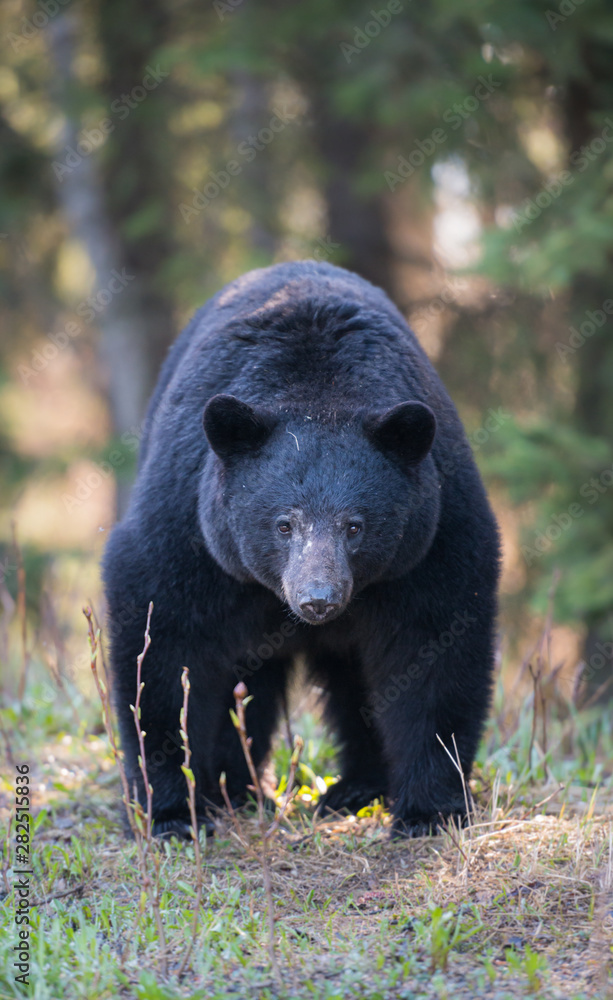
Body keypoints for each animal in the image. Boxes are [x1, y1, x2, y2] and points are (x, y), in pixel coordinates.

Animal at [102, 260, 500, 838]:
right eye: (284, 524)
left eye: (354, 526)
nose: (318, 598)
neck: (318, 394)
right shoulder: (190, 528)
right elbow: (165, 648)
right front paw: (172, 811)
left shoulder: (433, 535)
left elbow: (434, 651)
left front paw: (429, 810)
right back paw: (239, 791)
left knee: (354, 685)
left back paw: (351, 789)